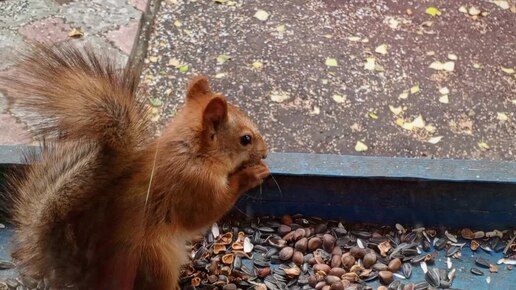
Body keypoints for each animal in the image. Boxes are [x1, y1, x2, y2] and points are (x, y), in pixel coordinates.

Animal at [0, 44, 268, 288]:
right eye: (245, 139)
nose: (265, 153)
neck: (193, 152)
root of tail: (90, 280)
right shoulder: (193, 184)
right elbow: (209, 210)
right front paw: (253, 174)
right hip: (155, 261)